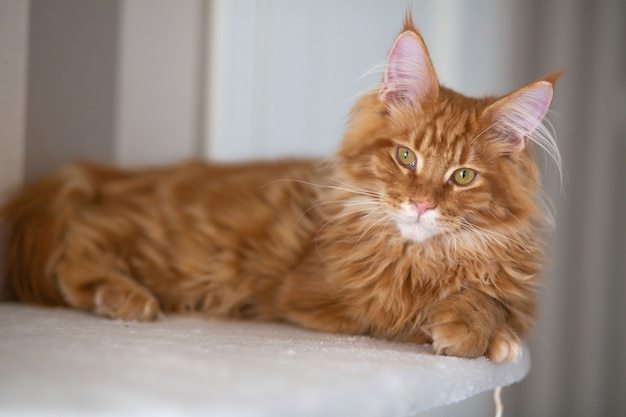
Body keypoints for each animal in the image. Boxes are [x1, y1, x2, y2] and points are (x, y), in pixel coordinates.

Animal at [0, 15, 560, 360]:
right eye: (406, 157)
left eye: (463, 176)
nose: (421, 204)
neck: (428, 258)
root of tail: (104, 175)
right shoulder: (331, 299)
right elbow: (412, 315)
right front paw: (469, 333)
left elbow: (495, 300)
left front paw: (495, 334)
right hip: (170, 251)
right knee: (76, 249)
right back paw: (122, 297)